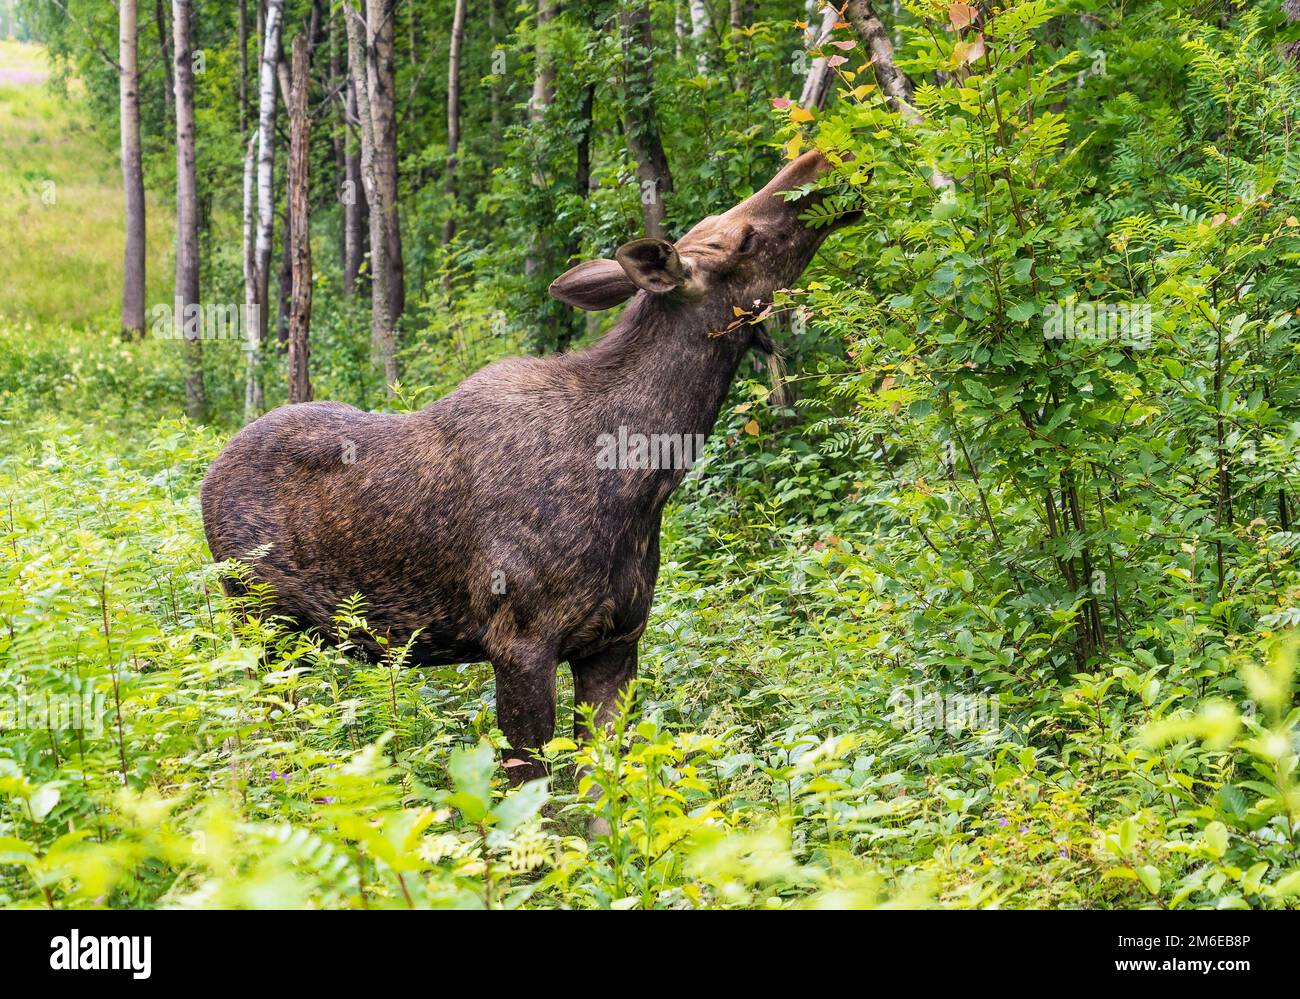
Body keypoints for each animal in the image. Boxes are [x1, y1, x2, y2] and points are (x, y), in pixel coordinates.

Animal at [200, 152, 852, 785]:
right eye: (741, 239)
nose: (819, 159)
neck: (643, 481)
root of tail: (207, 478)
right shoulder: (519, 643)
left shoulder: (616, 642)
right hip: (259, 622)